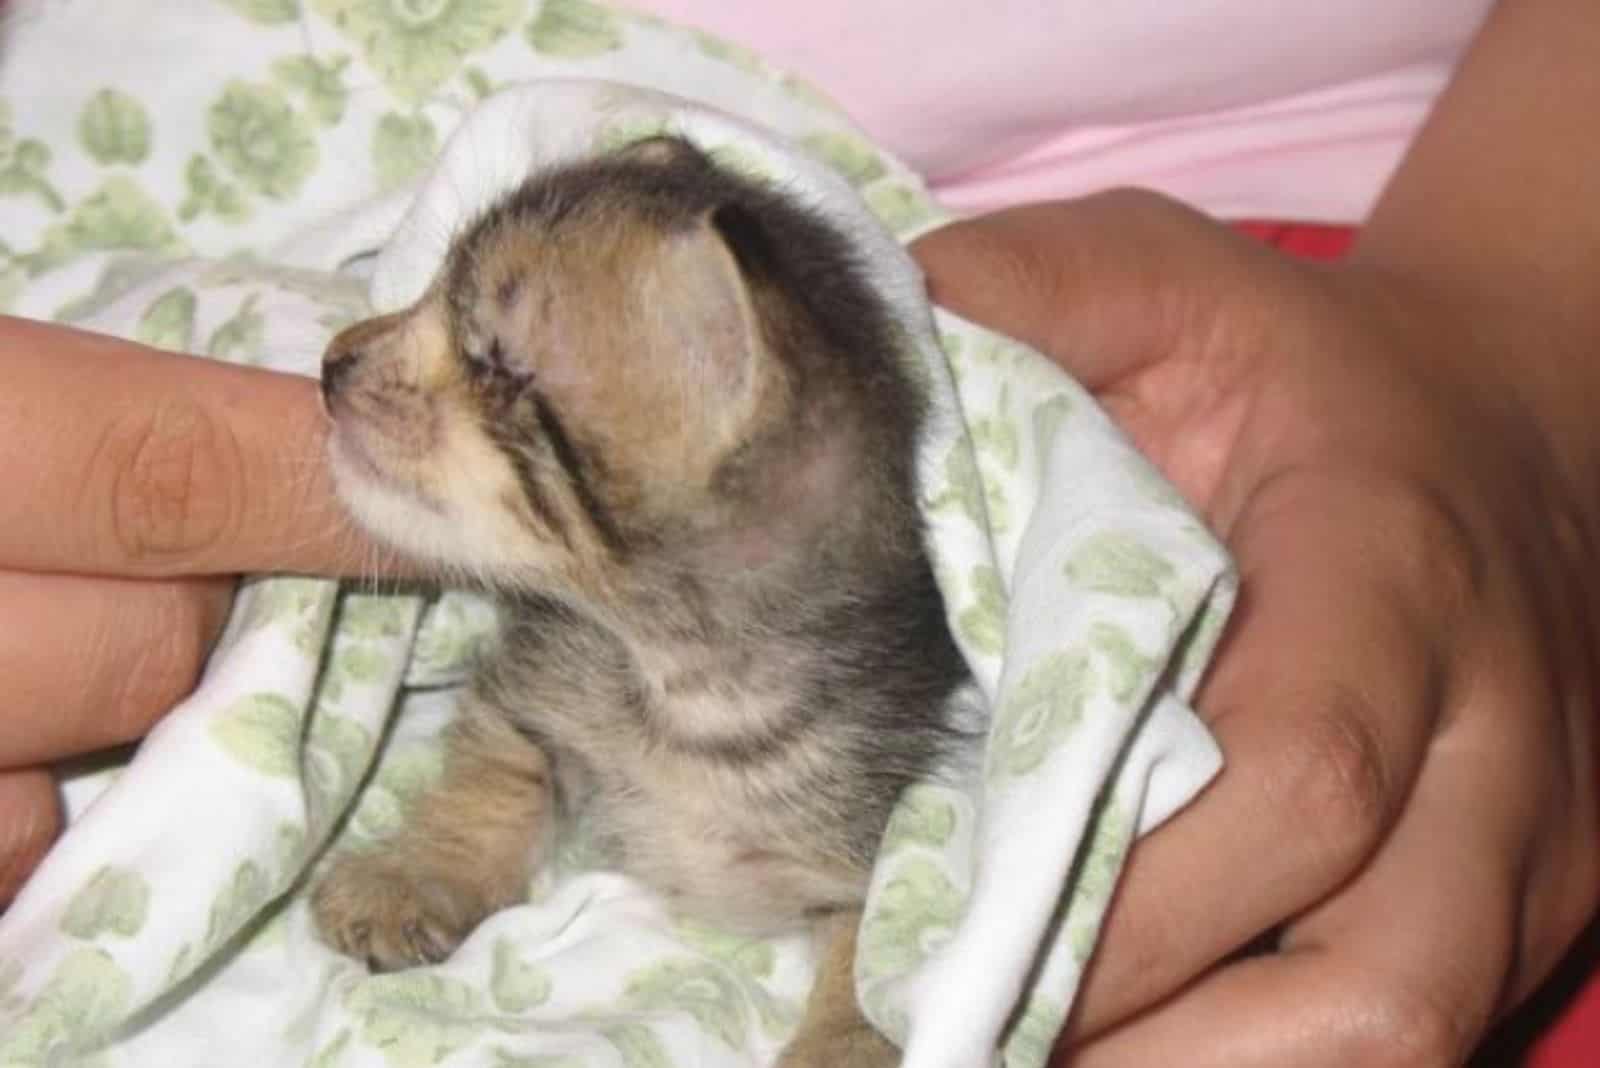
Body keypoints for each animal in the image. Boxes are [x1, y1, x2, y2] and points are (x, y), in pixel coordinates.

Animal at [310, 137, 960, 1061]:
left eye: (495, 360)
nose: (332, 363)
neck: (685, 687)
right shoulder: (538, 682)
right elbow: (494, 774)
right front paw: (414, 876)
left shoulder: (876, 842)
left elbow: (869, 963)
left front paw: (845, 1045)